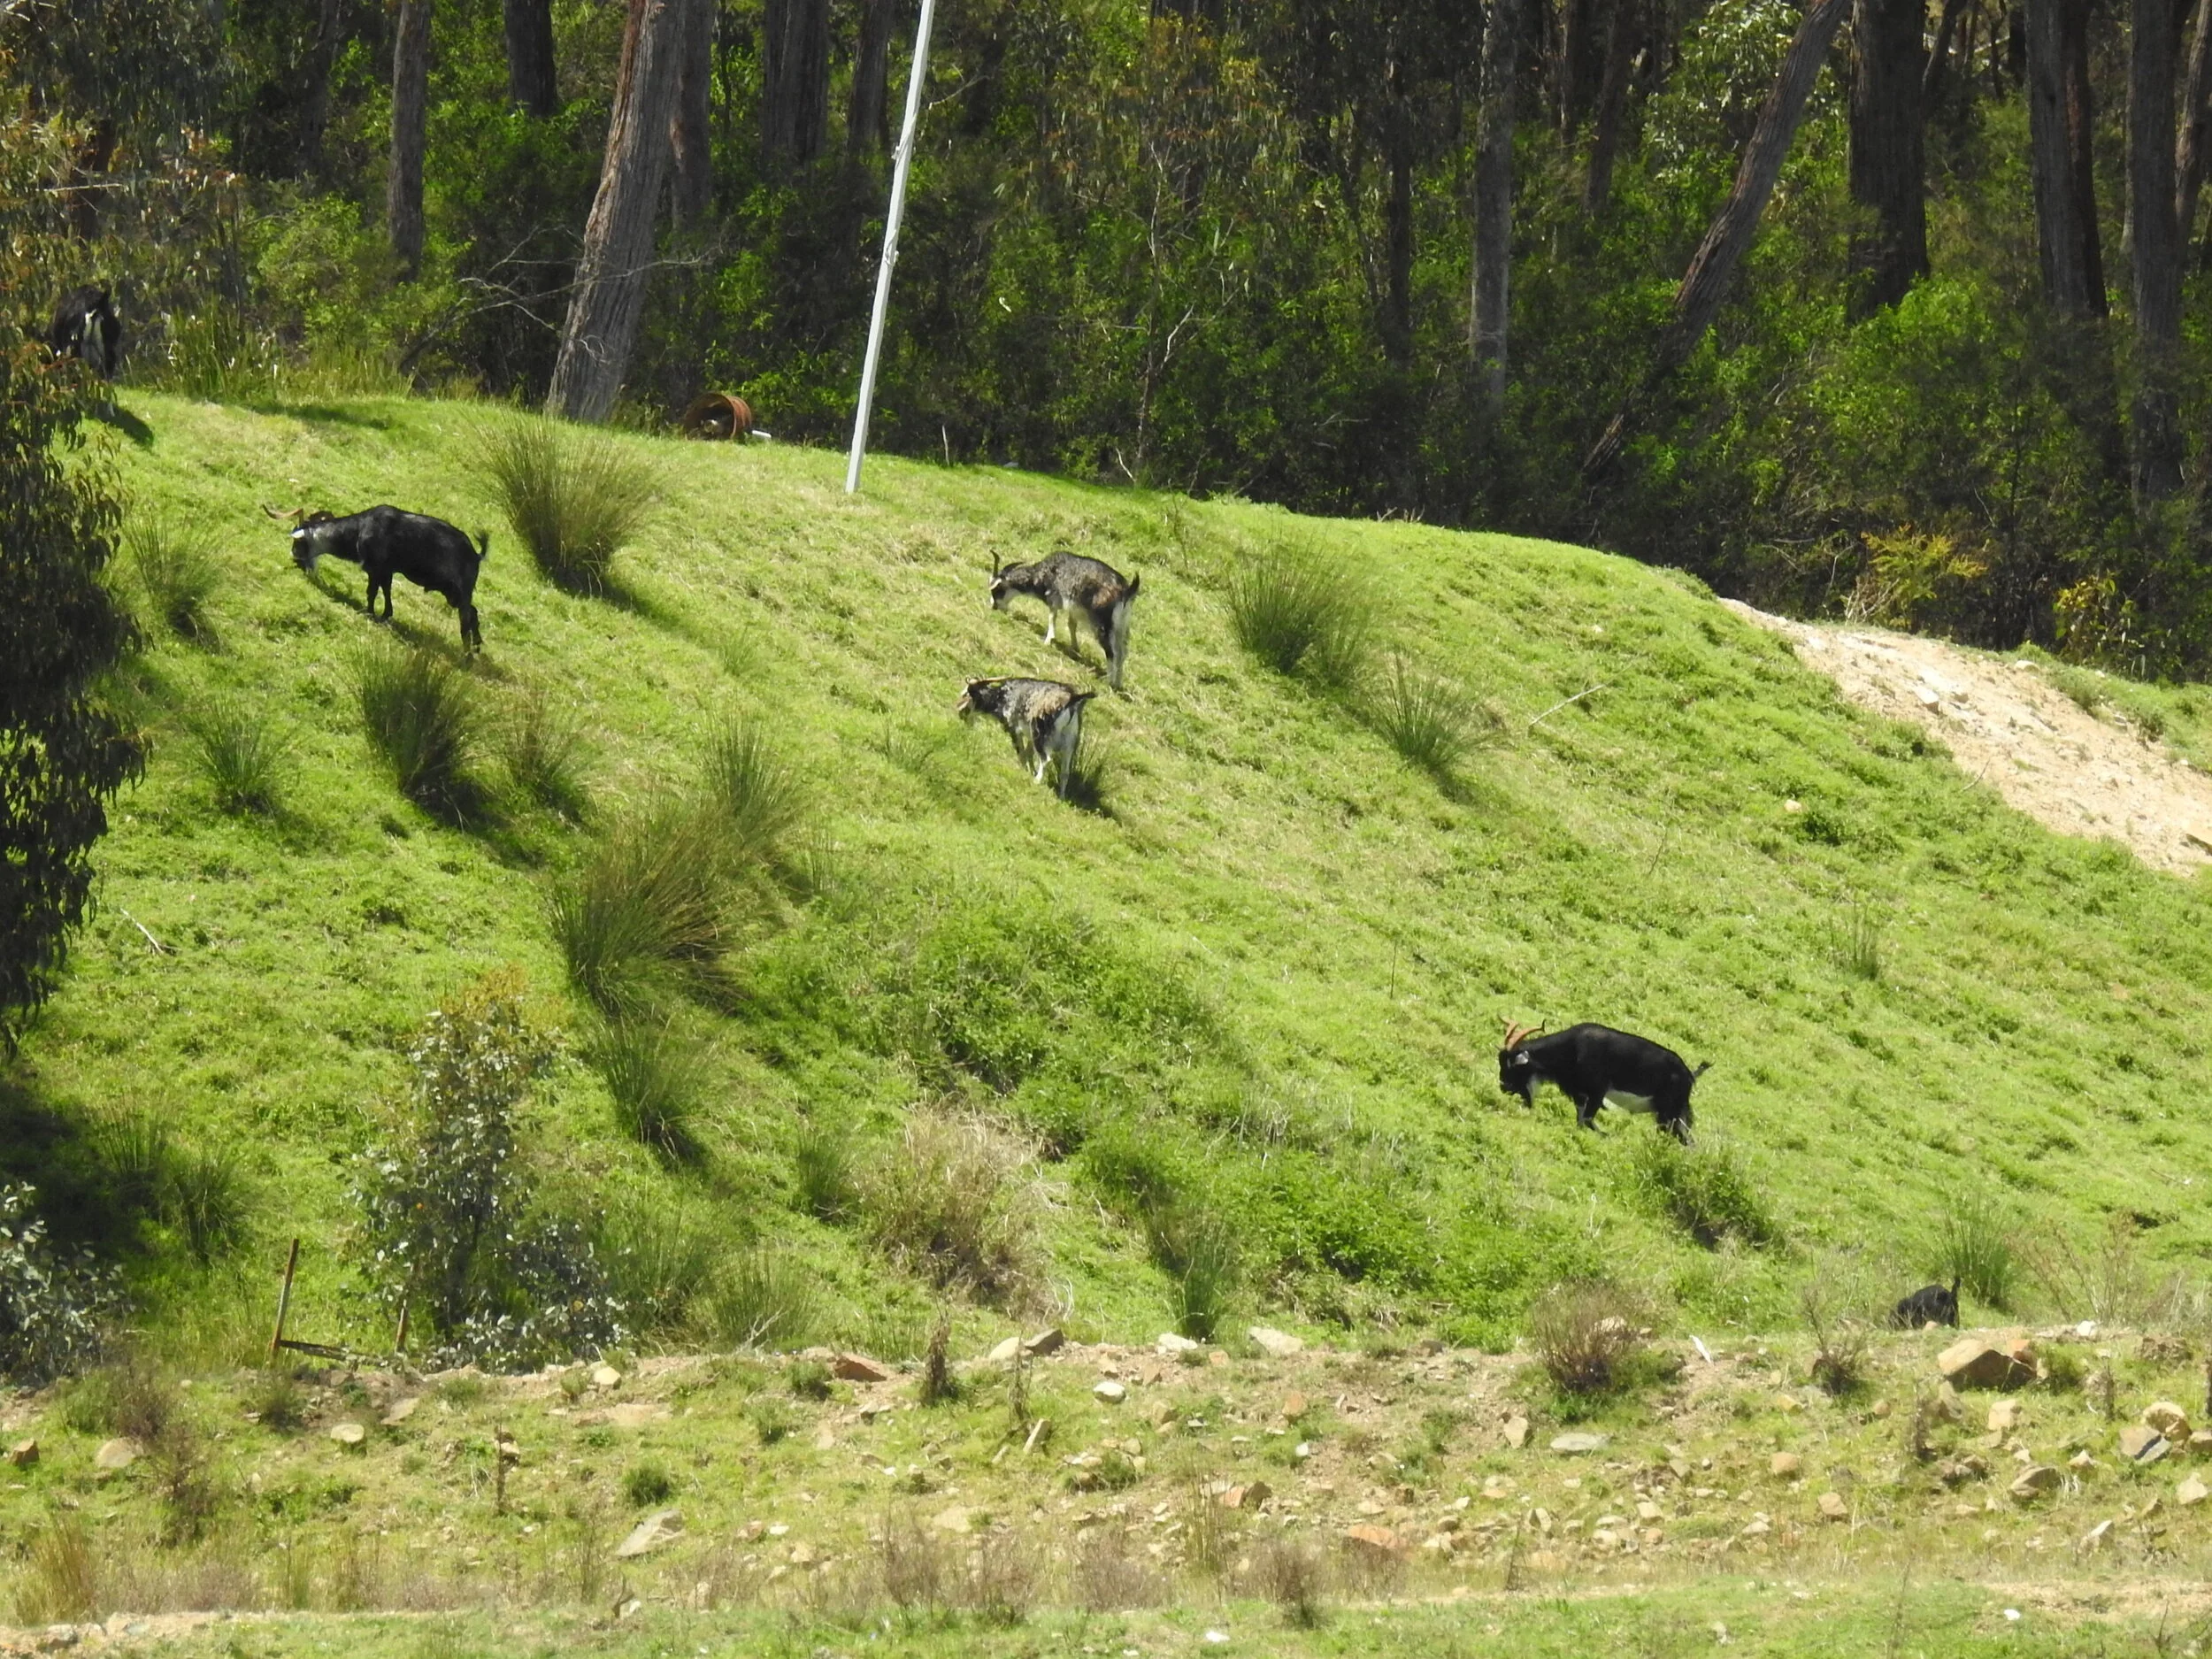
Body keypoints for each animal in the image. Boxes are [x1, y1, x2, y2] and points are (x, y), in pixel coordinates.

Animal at [265, 503, 487, 653]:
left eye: (298, 542)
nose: (296, 562)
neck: (360, 528)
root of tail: (476, 554)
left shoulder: (375, 569)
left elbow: (372, 592)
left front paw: (368, 612)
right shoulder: (386, 571)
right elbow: (386, 591)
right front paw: (385, 615)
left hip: (459, 592)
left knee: (466, 617)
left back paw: (467, 655)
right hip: (453, 594)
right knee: (473, 613)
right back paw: (476, 646)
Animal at [956, 677, 1095, 796]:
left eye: (966, 694)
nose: (960, 714)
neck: (1005, 697)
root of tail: (1071, 700)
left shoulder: (1014, 728)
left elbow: (1021, 753)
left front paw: (1025, 771)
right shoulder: (1030, 737)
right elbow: (1029, 753)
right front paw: (1030, 771)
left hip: (1042, 736)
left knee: (1046, 759)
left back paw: (1037, 781)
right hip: (1070, 743)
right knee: (1065, 772)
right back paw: (1061, 796)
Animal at [988, 550, 1140, 690]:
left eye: (997, 589)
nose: (993, 606)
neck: (1044, 573)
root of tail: (1126, 592)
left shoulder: (1054, 597)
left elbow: (1052, 617)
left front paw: (1048, 640)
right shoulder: (1073, 608)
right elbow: (1071, 625)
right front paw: (1075, 648)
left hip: (1102, 624)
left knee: (1112, 653)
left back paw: (1109, 682)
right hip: (1121, 627)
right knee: (1122, 653)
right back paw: (1118, 684)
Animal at [1497, 1019, 1707, 1143]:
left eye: (1511, 1064)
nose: (1503, 1087)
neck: (1574, 1047)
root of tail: (1689, 1076)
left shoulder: (1598, 1091)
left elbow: (1588, 1120)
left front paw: (1607, 1136)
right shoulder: (1579, 1093)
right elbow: (1581, 1120)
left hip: (1670, 1112)